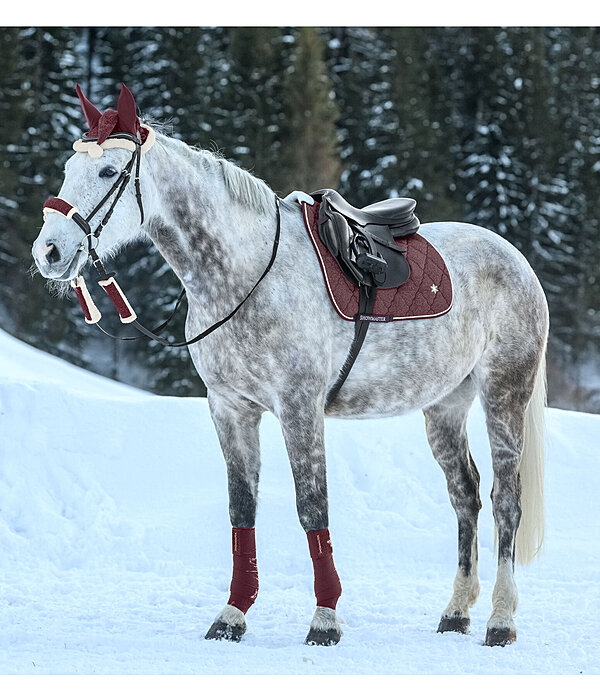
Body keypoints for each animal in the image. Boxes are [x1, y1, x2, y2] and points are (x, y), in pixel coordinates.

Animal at [31, 89, 548, 652]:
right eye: (68, 168)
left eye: (108, 171)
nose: (49, 251)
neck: (244, 276)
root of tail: (515, 258)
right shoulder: (230, 408)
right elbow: (241, 511)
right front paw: (232, 615)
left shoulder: (299, 407)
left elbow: (312, 508)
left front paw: (325, 619)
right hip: (445, 407)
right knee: (466, 497)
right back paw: (456, 611)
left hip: (503, 393)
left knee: (505, 501)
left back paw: (501, 619)